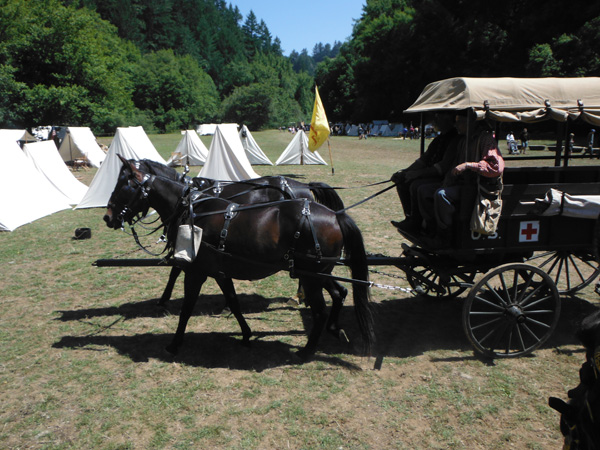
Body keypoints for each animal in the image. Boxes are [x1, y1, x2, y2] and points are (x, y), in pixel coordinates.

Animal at [105, 157, 372, 358]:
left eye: (124, 185)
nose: (108, 217)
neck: (193, 207)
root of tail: (335, 215)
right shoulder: (220, 272)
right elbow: (233, 302)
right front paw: (245, 334)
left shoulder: (196, 271)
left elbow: (186, 305)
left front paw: (174, 342)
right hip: (319, 272)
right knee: (339, 292)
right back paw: (333, 329)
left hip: (311, 275)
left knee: (320, 310)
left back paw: (306, 350)